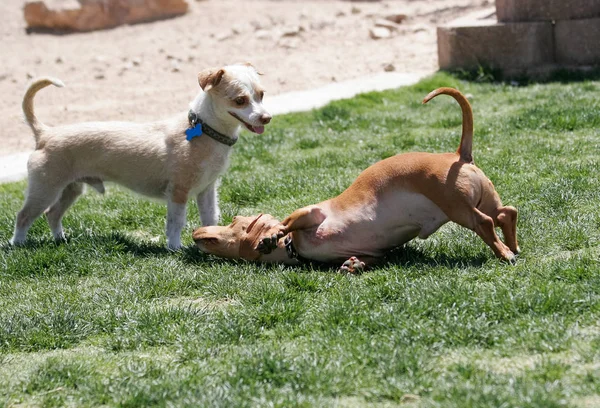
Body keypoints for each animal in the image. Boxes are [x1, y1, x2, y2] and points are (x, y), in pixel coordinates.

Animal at [11, 63, 272, 249]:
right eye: (240, 100)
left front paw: (213, 237)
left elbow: (210, 217)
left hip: (71, 189)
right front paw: (174, 248)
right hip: (45, 189)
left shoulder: (207, 189)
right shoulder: (178, 192)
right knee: (23, 216)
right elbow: (176, 222)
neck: (205, 130)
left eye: (261, 95)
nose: (266, 118)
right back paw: (18, 244)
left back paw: (60, 239)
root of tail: (45, 133)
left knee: (52, 214)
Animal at [193, 87, 520, 270]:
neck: (293, 246)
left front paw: (272, 234)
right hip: (483, 198)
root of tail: (458, 156)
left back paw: (504, 253)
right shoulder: (372, 251)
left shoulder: (313, 213)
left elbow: (290, 219)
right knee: (507, 212)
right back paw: (513, 246)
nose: (196, 232)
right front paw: (354, 265)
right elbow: (370, 258)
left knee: (484, 222)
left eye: (236, 222)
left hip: (455, 204)